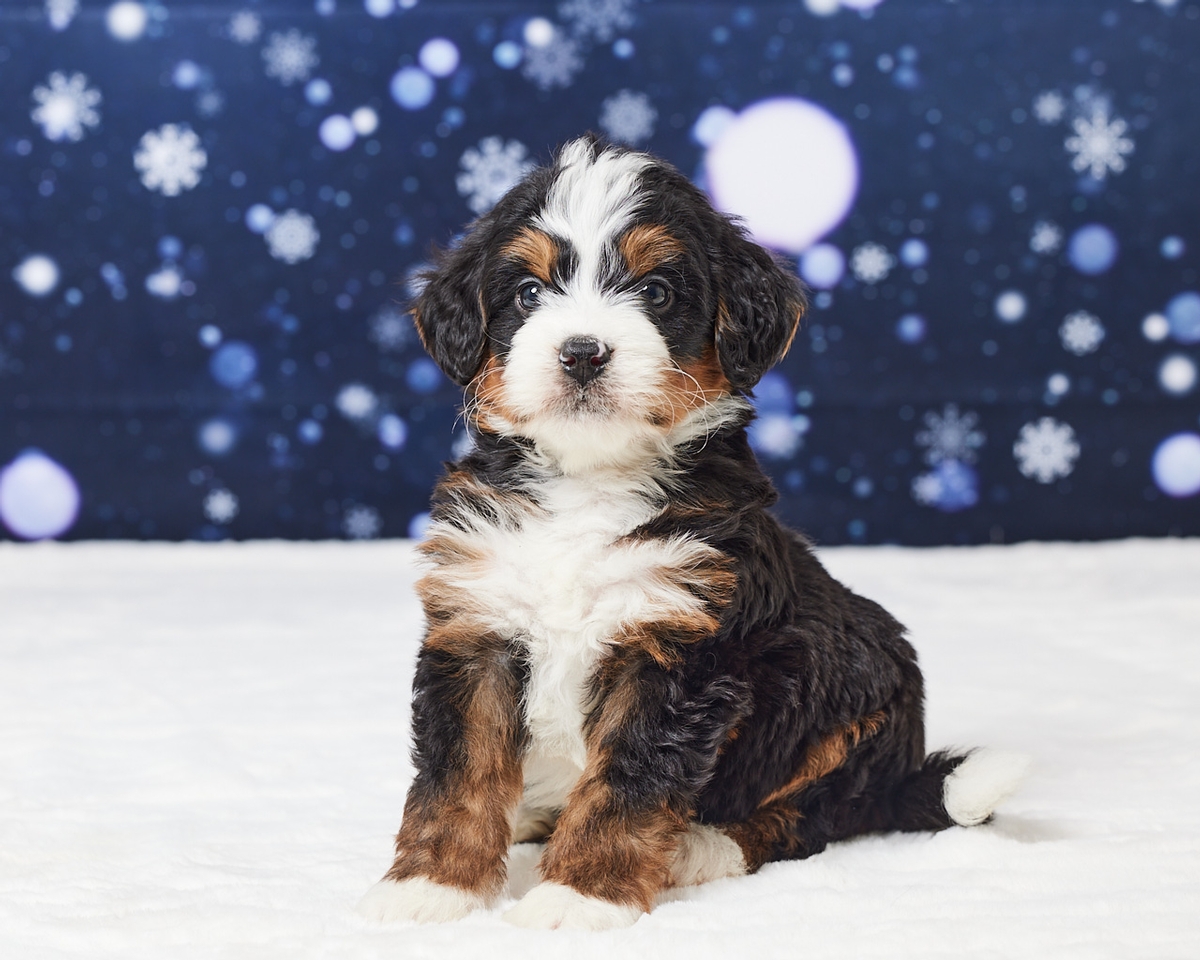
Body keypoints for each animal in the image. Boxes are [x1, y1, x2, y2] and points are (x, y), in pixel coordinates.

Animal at [358, 135, 1027, 930]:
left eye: (656, 292)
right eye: (527, 294)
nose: (582, 352)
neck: (590, 483)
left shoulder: (677, 647)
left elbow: (628, 783)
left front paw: (579, 896)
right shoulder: (478, 625)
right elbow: (458, 771)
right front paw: (433, 885)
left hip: (861, 704)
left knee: (810, 817)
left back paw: (700, 847)